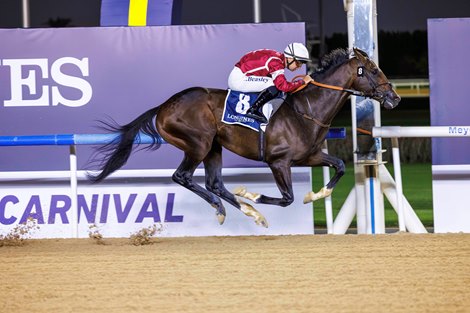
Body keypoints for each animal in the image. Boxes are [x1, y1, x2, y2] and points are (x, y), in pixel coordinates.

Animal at [89, 47, 400, 227]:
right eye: (374, 70)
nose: (395, 98)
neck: (306, 110)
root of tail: (164, 106)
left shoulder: (309, 156)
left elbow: (340, 165)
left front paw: (317, 194)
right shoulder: (278, 162)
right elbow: (286, 198)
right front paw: (251, 193)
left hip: (214, 147)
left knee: (214, 183)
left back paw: (248, 212)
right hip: (198, 143)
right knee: (183, 177)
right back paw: (227, 208)